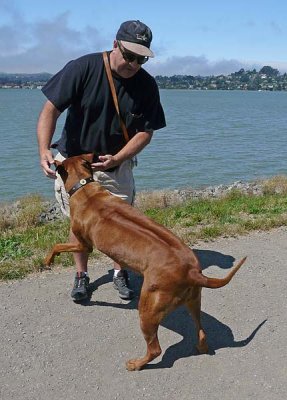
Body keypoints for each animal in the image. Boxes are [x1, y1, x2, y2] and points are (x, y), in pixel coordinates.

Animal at [45, 152, 248, 368]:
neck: (85, 187)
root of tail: (192, 272)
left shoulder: (84, 245)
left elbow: (57, 246)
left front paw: (48, 260)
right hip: (193, 300)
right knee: (201, 331)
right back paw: (200, 347)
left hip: (148, 310)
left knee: (155, 349)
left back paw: (137, 364)